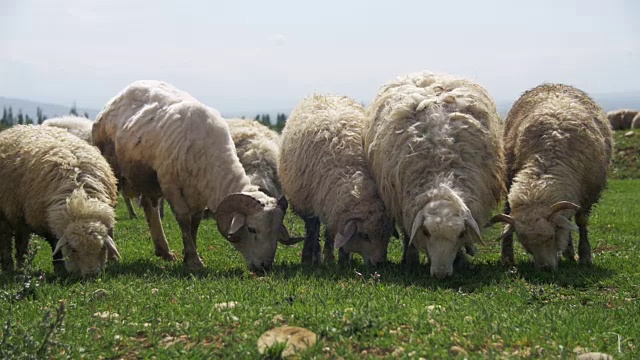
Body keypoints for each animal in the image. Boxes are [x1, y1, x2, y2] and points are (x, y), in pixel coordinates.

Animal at [0, 125, 120, 278]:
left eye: (101, 248)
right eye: (73, 249)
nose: (91, 275)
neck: (80, 203)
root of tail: (18, 126)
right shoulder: (45, 222)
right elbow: (55, 247)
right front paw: (60, 269)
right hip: (8, 215)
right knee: (9, 241)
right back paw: (11, 268)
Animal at [91, 80, 296, 272]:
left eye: (277, 232)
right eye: (252, 229)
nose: (265, 266)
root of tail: (117, 98)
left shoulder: (199, 193)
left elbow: (194, 223)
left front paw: (191, 254)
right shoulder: (171, 185)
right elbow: (184, 220)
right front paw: (193, 260)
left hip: (149, 179)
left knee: (151, 208)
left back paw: (164, 251)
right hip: (113, 171)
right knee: (111, 206)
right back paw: (113, 256)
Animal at [280, 94, 396, 266]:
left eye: (386, 236)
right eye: (365, 235)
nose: (380, 264)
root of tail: (322, 93)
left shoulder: (334, 208)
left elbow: (333, 234)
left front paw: (339, 258)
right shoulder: (308, 204)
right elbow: (312, 230)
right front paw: (308, 259)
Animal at [364, 70, 504, 278]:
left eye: (461, 234)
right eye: (426, 232)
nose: (441, 275)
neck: (441, 175)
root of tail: (424, 74)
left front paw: (461, 258)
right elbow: (408, 234)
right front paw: (410, 258)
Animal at [488, 83, 612, 270]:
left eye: (552, 236)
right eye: (525, 243)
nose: (545, 269)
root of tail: (553, 84)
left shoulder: (588, 194)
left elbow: (581, 222)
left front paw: (585, 255)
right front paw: (507, 256)